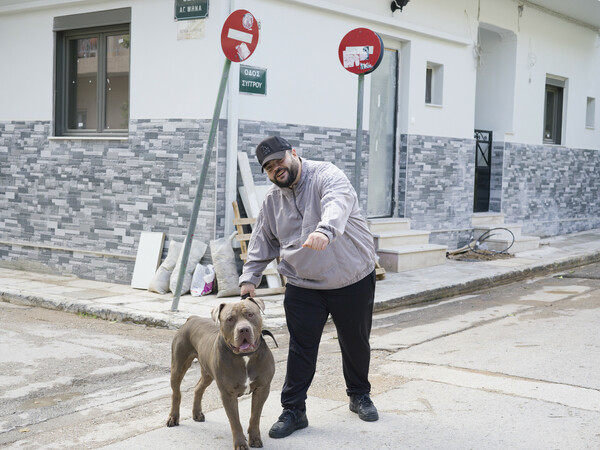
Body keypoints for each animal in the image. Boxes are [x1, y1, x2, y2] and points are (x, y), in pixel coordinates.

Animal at [166, 298, 274, 448]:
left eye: (250, 314)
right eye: (230, 319)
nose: (244, 329)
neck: (245, 357)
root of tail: (192, 318)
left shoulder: (262, 389)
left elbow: (255, 416)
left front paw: (255, 439)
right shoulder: (228, 394)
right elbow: (235, 421)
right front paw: (240, 444)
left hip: (207, 373)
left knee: (198, 388)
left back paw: (197, 413)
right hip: (178, 366)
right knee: (176, 393)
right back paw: (173, 417)